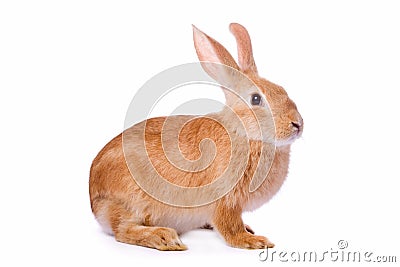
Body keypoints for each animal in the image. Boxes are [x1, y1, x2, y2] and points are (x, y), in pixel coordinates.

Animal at [90, 23, 304, 251]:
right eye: (256, 99)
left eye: (282, 89)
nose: (297, 124)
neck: (243, 133)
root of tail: (94, 200)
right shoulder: (225, 201)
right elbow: (230, 227)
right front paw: (253, 241)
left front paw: (250, 232)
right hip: (130, 204)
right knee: (123, 230)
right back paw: (165, 238)